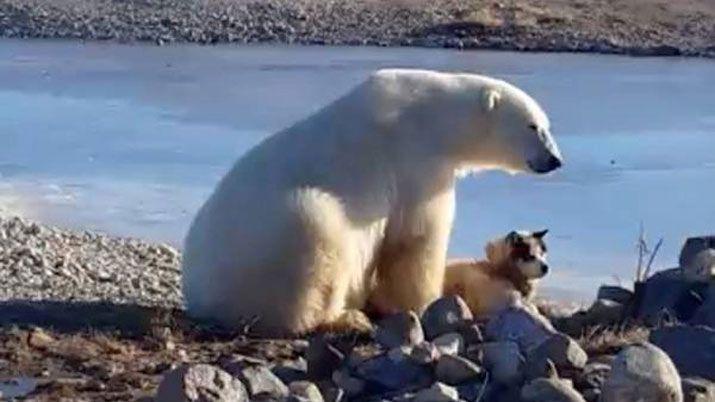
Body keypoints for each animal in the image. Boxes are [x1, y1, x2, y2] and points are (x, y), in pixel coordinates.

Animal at [182, 69, 564, 336]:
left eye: (546, 125)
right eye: (533, 126)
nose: (555, 160)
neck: (433, 116)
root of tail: (198, 296)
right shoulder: (415, 162)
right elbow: (416, 239)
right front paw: (427, 301)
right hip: (270, 238)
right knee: (315, 231)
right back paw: (344, 318)